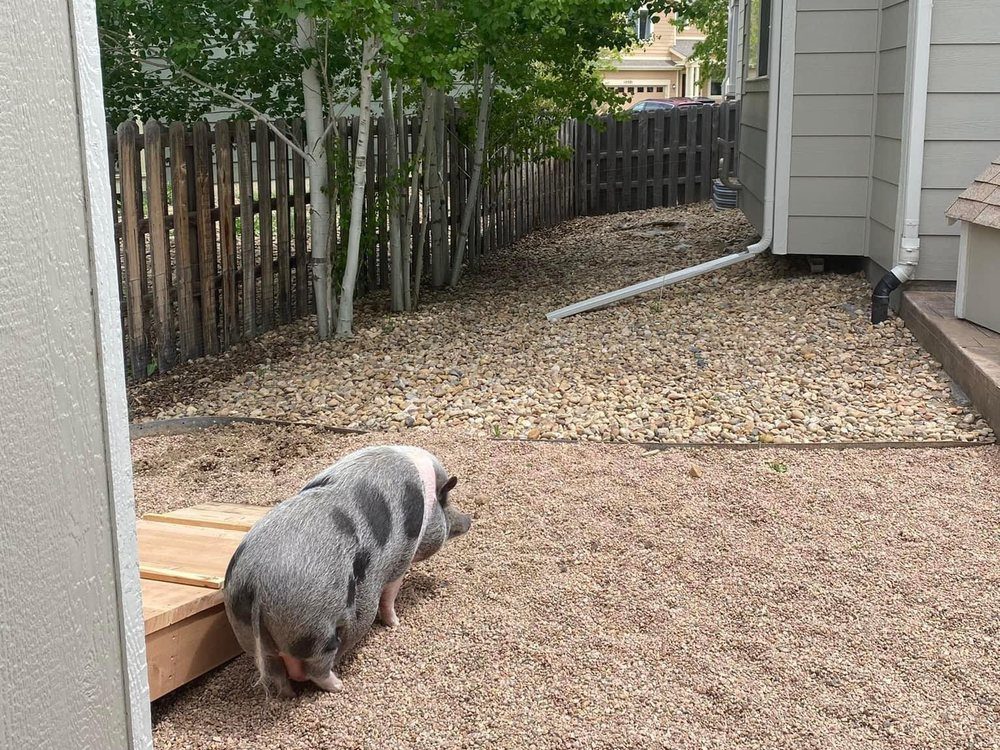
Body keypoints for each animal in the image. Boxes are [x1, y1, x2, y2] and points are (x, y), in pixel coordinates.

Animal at [222, 445, 472, 698]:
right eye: (445, 502)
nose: (469, 520)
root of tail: (255, 583)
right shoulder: (401, 559)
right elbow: (390, 595)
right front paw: (395, 623)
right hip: (316, 630)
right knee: (317, 668)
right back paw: (339, 685)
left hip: (249, 634)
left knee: (275, 672)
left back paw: (288, 695)